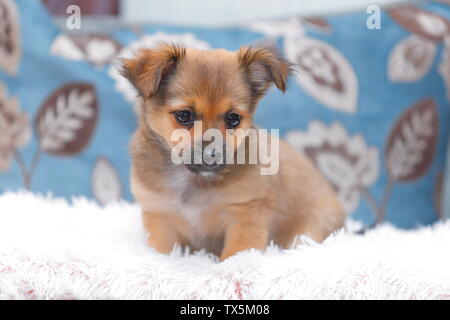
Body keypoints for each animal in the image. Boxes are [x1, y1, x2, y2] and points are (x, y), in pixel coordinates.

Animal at [119, 43, 344, 262]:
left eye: (233, 118)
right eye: (184, 115)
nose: (211, 155)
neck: (194, 181)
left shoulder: (245, 215)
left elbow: (235, 255)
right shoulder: (160, 216)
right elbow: (160, 253)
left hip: (307, 232)